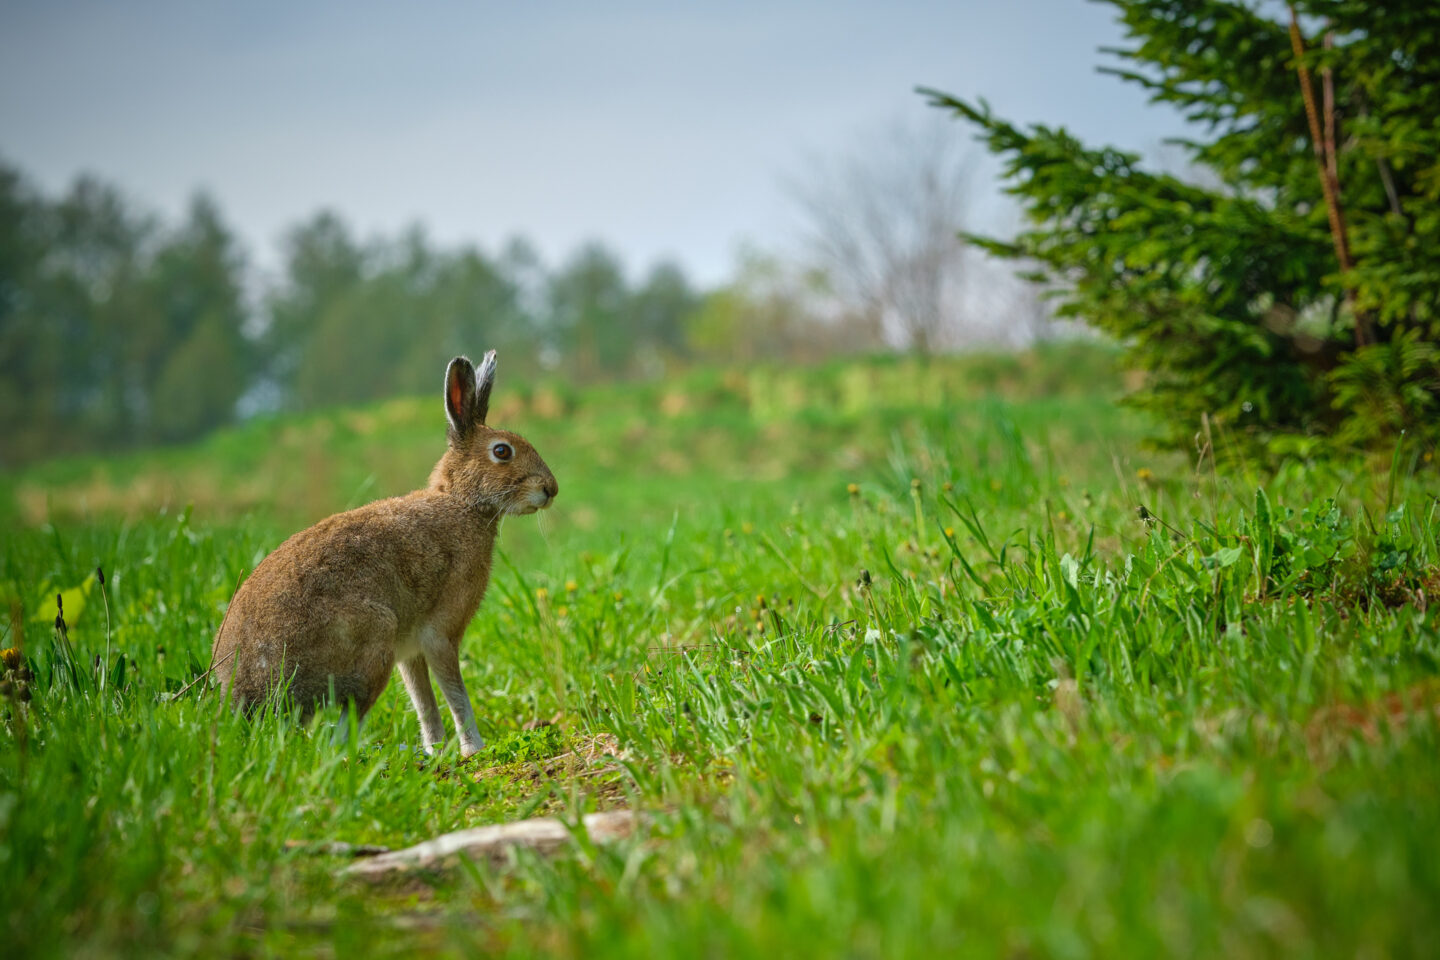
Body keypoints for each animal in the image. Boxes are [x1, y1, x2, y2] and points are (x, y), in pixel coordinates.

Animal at [210, 351, 557, 756]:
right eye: (502, 451)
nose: (550, 489)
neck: (463, 503)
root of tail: (248, 695)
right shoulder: (440, 634)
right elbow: (456, 694)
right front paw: (474, 748)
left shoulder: (410, 652)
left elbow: (424, 702)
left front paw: (436, 750)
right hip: (371, 645)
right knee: (340, 734)